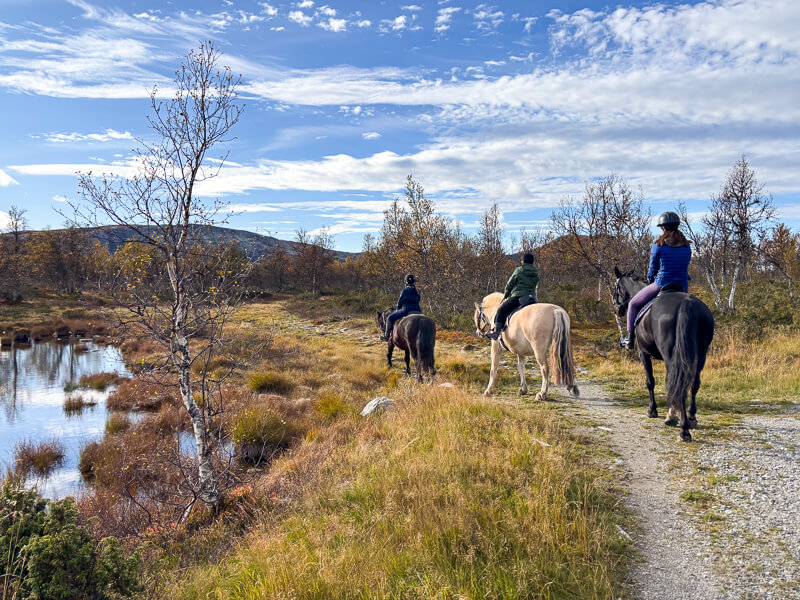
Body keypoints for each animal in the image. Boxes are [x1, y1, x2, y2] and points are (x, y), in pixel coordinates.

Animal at [613, 266, 715, 442]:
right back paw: (691, 418)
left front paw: (652, 410)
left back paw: (680, 426)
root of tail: (687, 303)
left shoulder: (643, 353)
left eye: (616, 288)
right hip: (701, 354)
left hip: (670, 356)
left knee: (676, 384)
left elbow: (650, 381)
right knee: (693, 383)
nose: (617, 309)